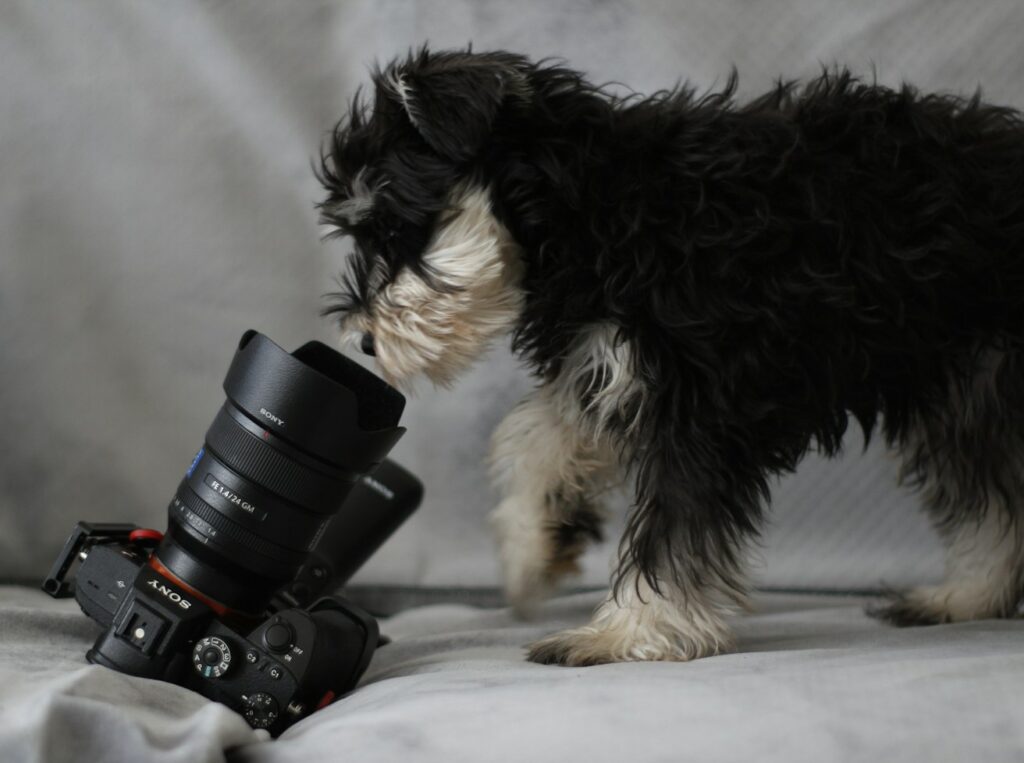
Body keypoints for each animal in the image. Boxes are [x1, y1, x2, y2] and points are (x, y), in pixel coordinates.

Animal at [315, 49, 1024, 667]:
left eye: (393, 227)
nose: (364, 341)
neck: (598, 206)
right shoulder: (610, 363)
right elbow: (539, 438)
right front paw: (531, 549)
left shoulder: (698, 404)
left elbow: (671, 529)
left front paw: (628, 632)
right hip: (969, 390)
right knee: (993, 497)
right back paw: (966, 597)